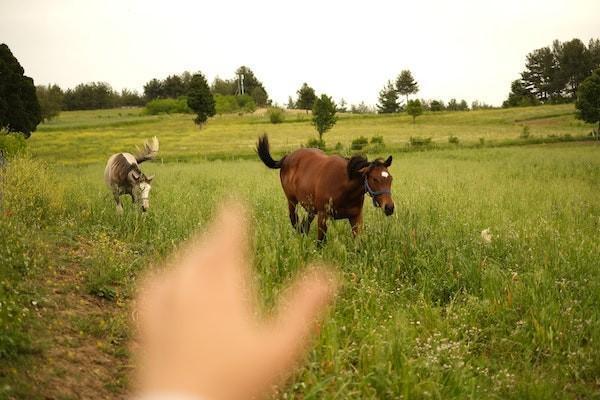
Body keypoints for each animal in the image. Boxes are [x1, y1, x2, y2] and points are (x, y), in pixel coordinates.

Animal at [256, 134, 394, 242]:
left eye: (390, 179)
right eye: (374, 179)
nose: (390, 208)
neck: (345, 186)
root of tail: (286, 158)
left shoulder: (356, 217)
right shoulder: (323, 216)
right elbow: (321, 242)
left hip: (311, 208)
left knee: (304, 225)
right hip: (292, 202)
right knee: (295, 221)